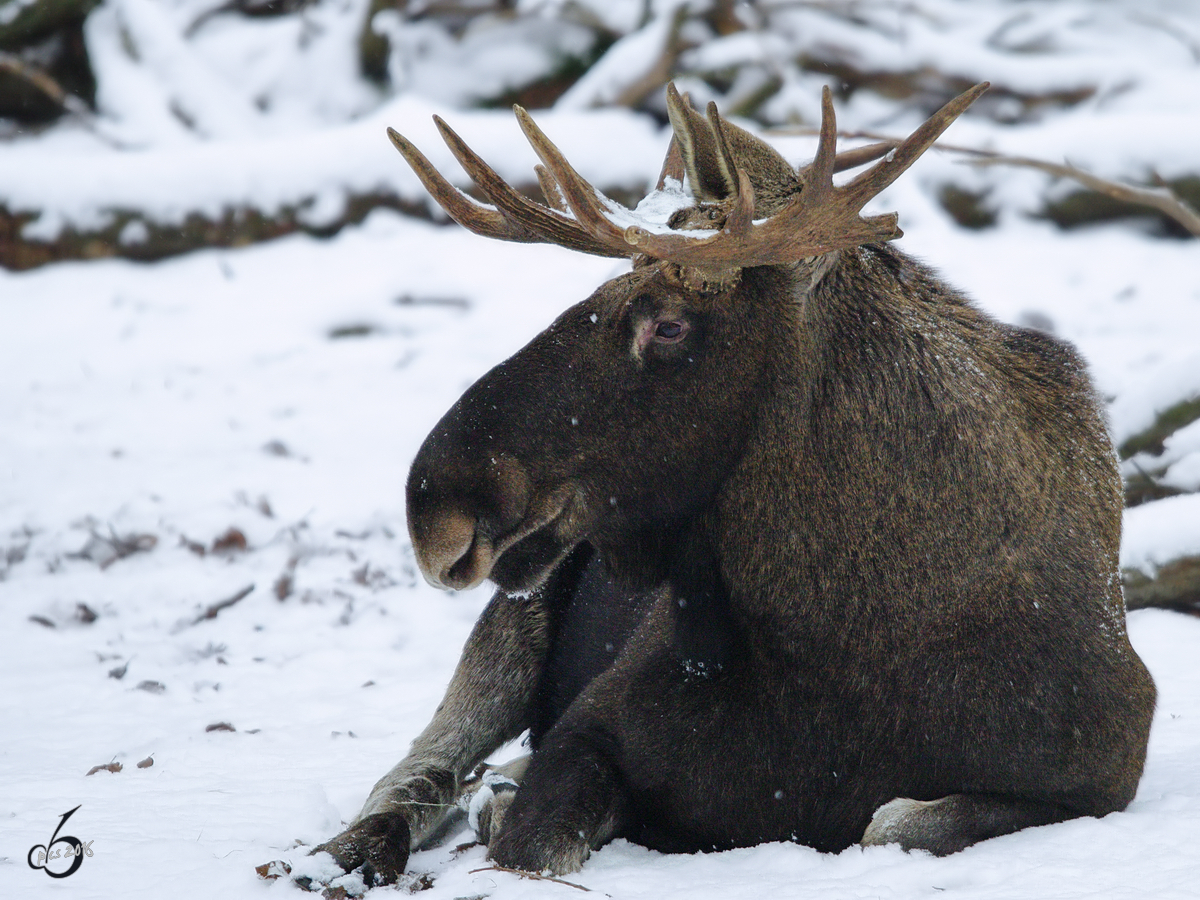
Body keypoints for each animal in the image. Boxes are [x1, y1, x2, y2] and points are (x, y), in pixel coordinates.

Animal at [314, 81, 1156, 883]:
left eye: (670, 323)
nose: (435, 507)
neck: (852, 639)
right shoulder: (590, 726)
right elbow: (535, 841)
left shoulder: (1101, 775)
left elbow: (892, 821)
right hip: (513, 624)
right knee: (418, 773)